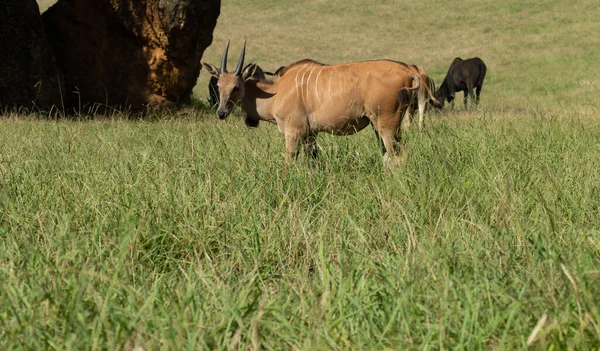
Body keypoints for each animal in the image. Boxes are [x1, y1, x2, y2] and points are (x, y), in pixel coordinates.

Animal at [204, 41, 428, 168]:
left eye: (236, 86)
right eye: (219, 84)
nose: (221, 112)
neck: (276, 92)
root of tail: (409, 72)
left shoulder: (293, 133)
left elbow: (289, 162)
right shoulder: (310, 135)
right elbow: (313, 161)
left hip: (387, 123)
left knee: (399, 156)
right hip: (378, 126)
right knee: (387, 157)